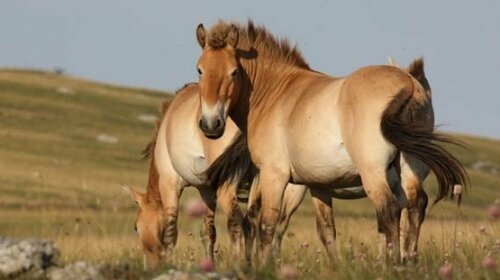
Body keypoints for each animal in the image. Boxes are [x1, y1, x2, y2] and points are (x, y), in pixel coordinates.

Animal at [193, 20, 466, 264]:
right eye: (200, 70)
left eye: (234, 71)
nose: (210, 124)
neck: (276, 93)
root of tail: (407, 84)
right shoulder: (319, 185)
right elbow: (326, 231)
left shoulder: (274, 176)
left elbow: (266, 227)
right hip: (410, 168)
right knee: (415, 206)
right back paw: (409, 261)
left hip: (373, 173)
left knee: (390, 212)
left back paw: (395, 264)